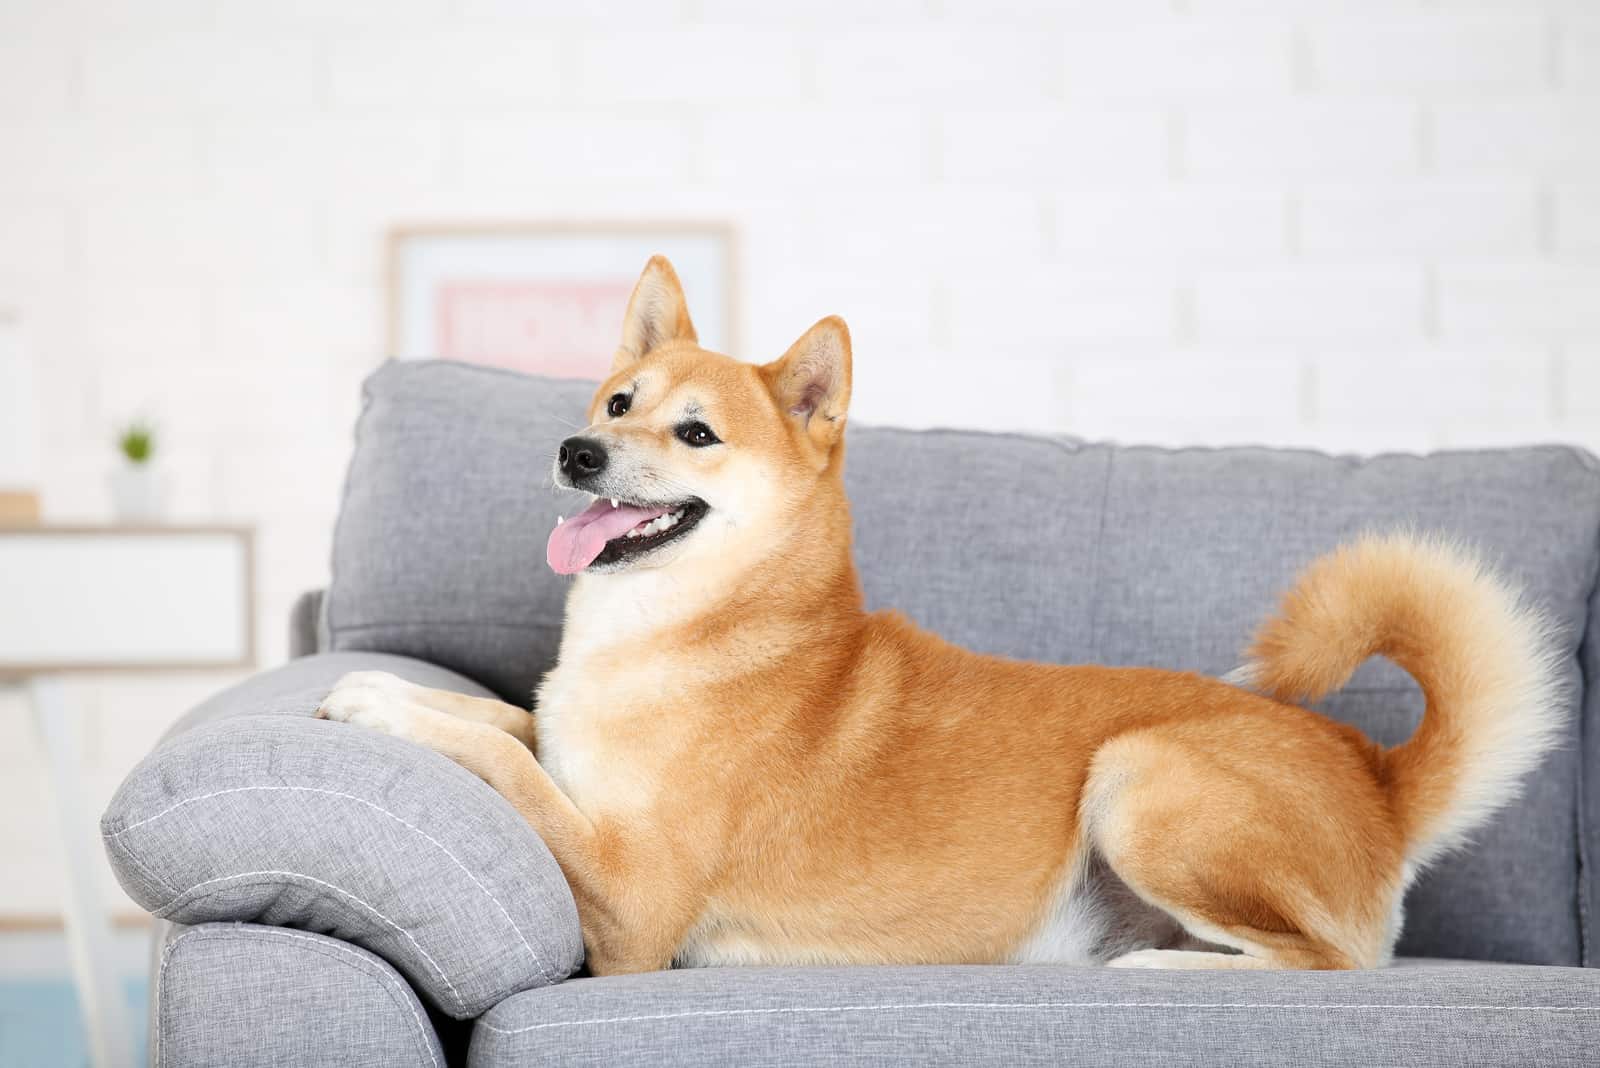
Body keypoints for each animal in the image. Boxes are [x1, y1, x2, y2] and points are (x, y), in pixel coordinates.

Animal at [321, 254, 1561, 972]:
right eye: (618, 402)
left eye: (695, 433)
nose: (577, 450)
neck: (706, 630)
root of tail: (1373, 772)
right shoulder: (569, 746)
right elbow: (513, 726)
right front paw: (388, 688)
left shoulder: (632, 905)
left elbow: (511, 766)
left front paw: (388, 709)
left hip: (1141, 774)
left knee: (1333, 964)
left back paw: (1157, 970)